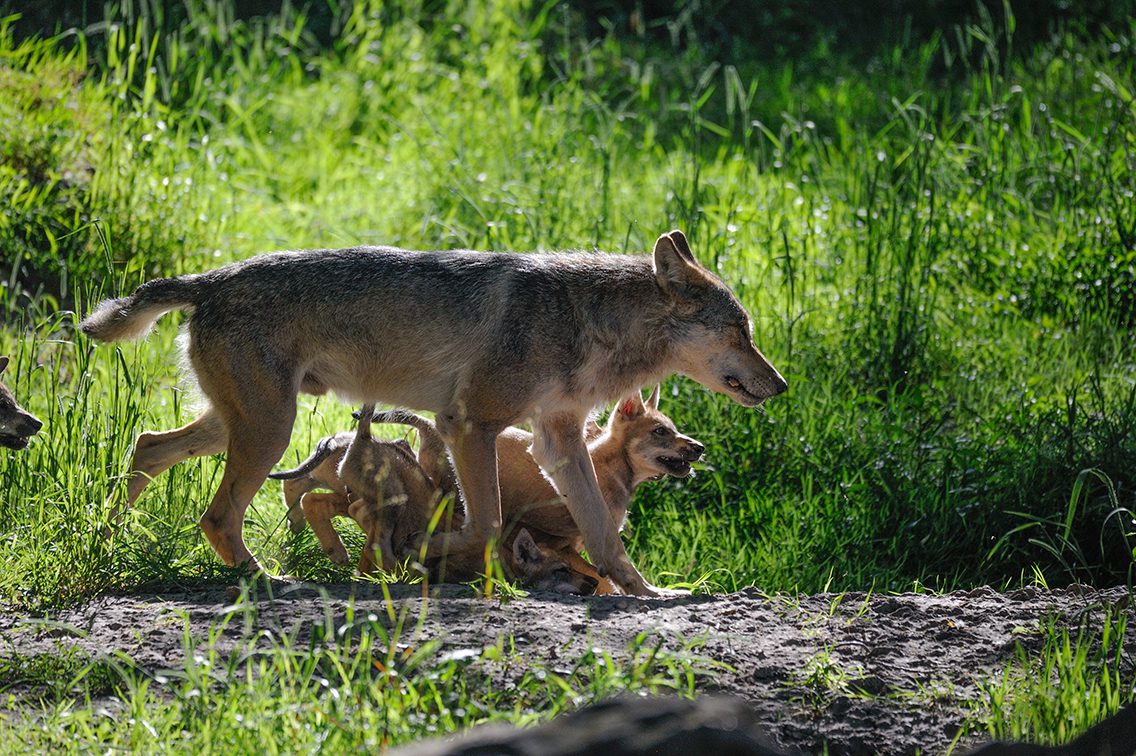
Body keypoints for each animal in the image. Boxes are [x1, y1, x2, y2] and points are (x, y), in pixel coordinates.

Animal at [80, 230, 786, 596]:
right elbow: (487, 523)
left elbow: (605, 539)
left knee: (147, 446)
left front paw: (648, 595)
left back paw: (106, 541)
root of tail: (208, 279)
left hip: (238, 427)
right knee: (217, 515)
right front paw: (422, 551)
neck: (585, 323)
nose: (779, 385)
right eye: (741, 331)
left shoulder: (557, 442)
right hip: (267, 430)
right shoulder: (467, 426)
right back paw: (277, 579)